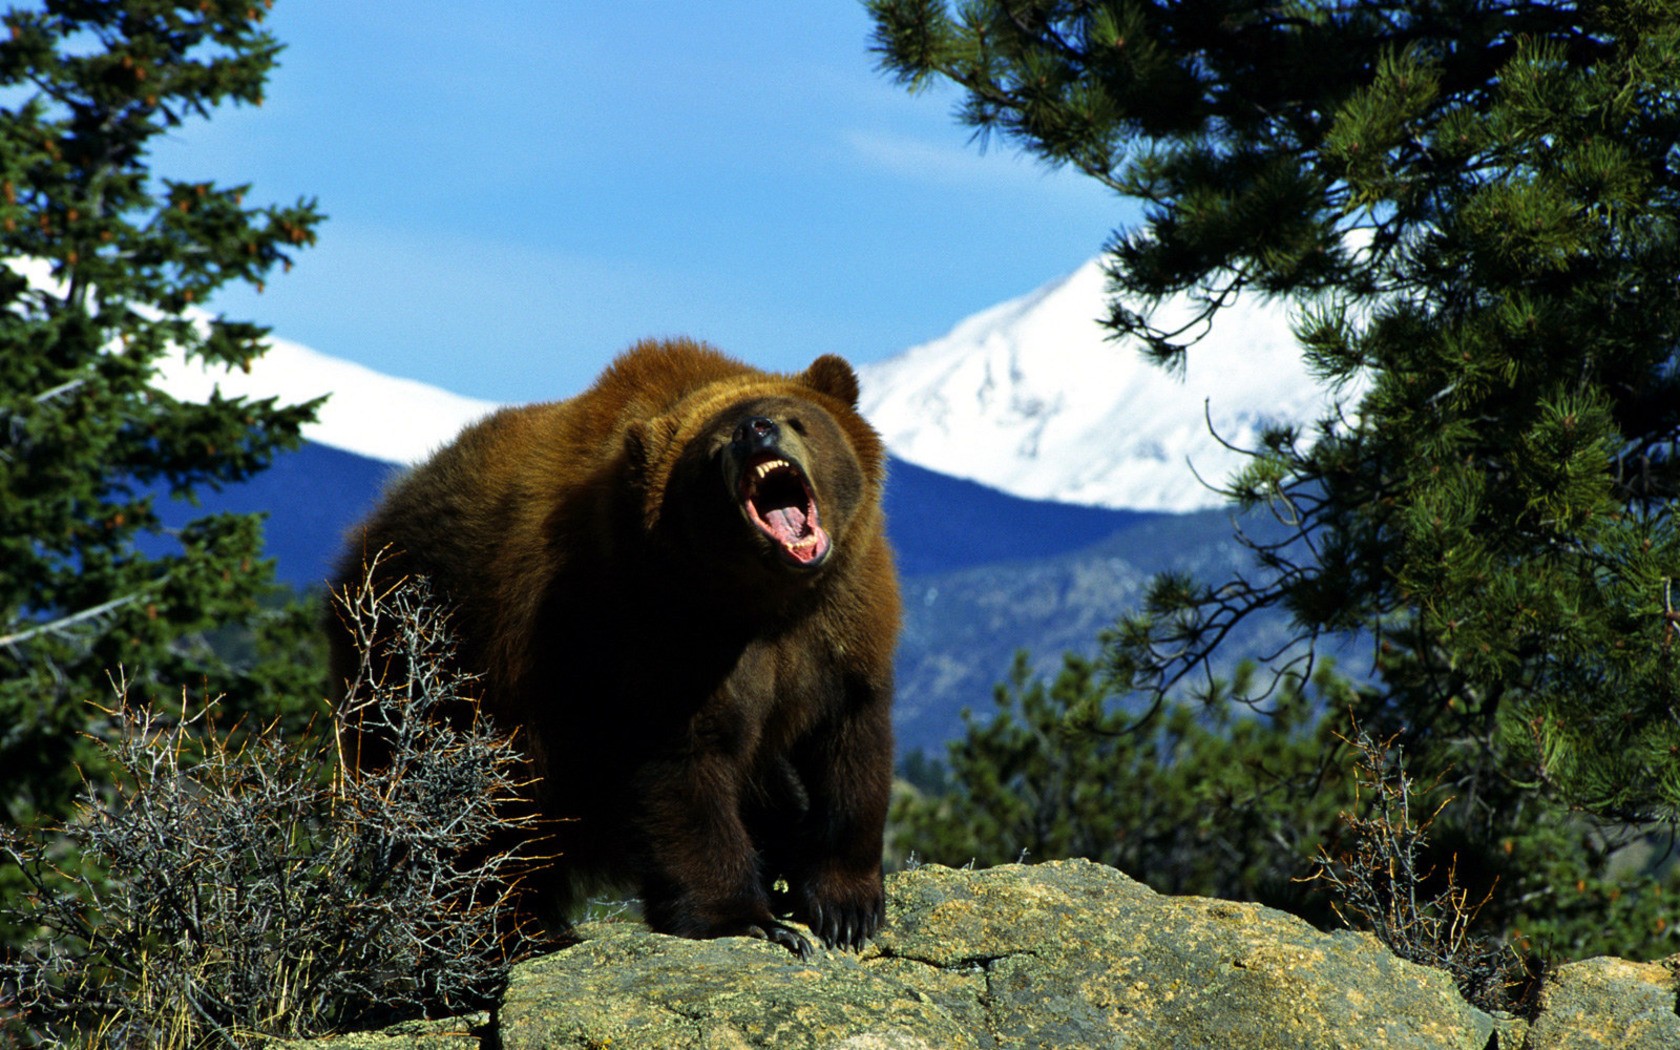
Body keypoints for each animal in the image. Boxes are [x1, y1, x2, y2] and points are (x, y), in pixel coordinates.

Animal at [327, 337, 900, 959]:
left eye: (795, 419)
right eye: (713, 447)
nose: (755, 430)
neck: (764, 598)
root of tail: (363, 537)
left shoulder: (841, 624)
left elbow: (850, 747)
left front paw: (845, 907)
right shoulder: (651, 631)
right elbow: (682, 771)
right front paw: (748, 918)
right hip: (433, 668)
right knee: (479, 820)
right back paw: (515, 930)